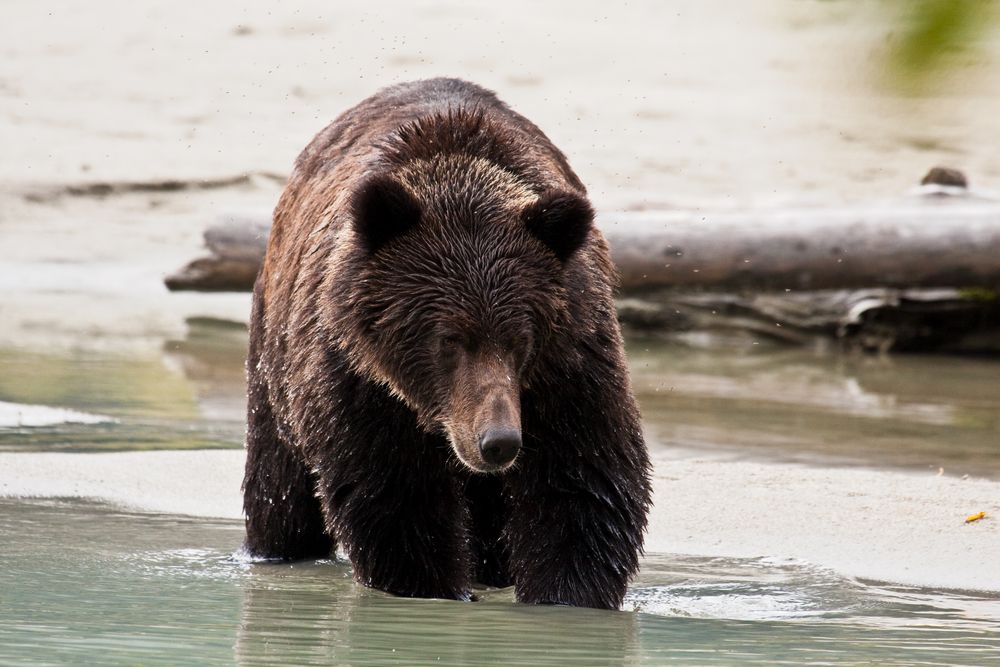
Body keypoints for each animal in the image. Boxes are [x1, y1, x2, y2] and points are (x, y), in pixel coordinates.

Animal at [240, 78, 648, 612]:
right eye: (450, 339)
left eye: (520, 339)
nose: (499, 441)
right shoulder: (358, 378)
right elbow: (398, 500)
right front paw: (433, 589)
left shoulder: (570, 363)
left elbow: (581, 485)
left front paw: (565, 597)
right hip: (276, 364)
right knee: (279, 489)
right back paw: (274, 549)